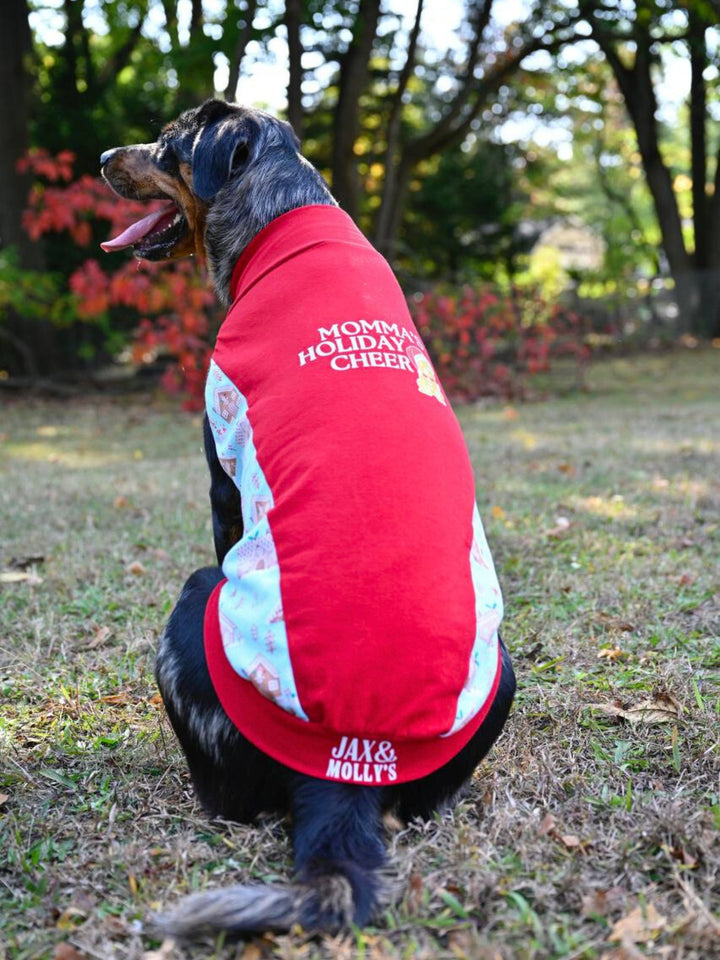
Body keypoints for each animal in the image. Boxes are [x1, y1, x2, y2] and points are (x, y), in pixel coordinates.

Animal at [100, 101, 516, 940]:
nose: (101, 158)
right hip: (501, 672)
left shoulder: (224, 475)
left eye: (167, 141)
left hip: (193, 607)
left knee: (228, 799)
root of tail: (345, 768)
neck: (283, 215)